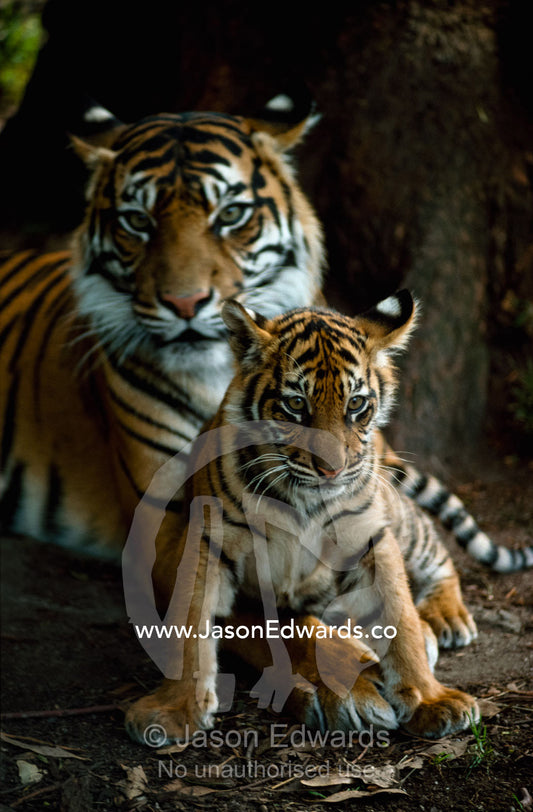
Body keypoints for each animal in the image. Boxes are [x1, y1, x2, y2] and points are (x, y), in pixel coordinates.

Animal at [124, 290, 483, 744]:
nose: (332, 469)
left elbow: (400, 620)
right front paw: (176, 709)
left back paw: (445, 618)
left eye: (356, 404)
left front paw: (432, 700)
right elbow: (191, 627)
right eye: (296, 404)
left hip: (401, 518)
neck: (305, 501)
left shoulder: (371, 538)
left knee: (437, 550)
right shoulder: (207, 544)